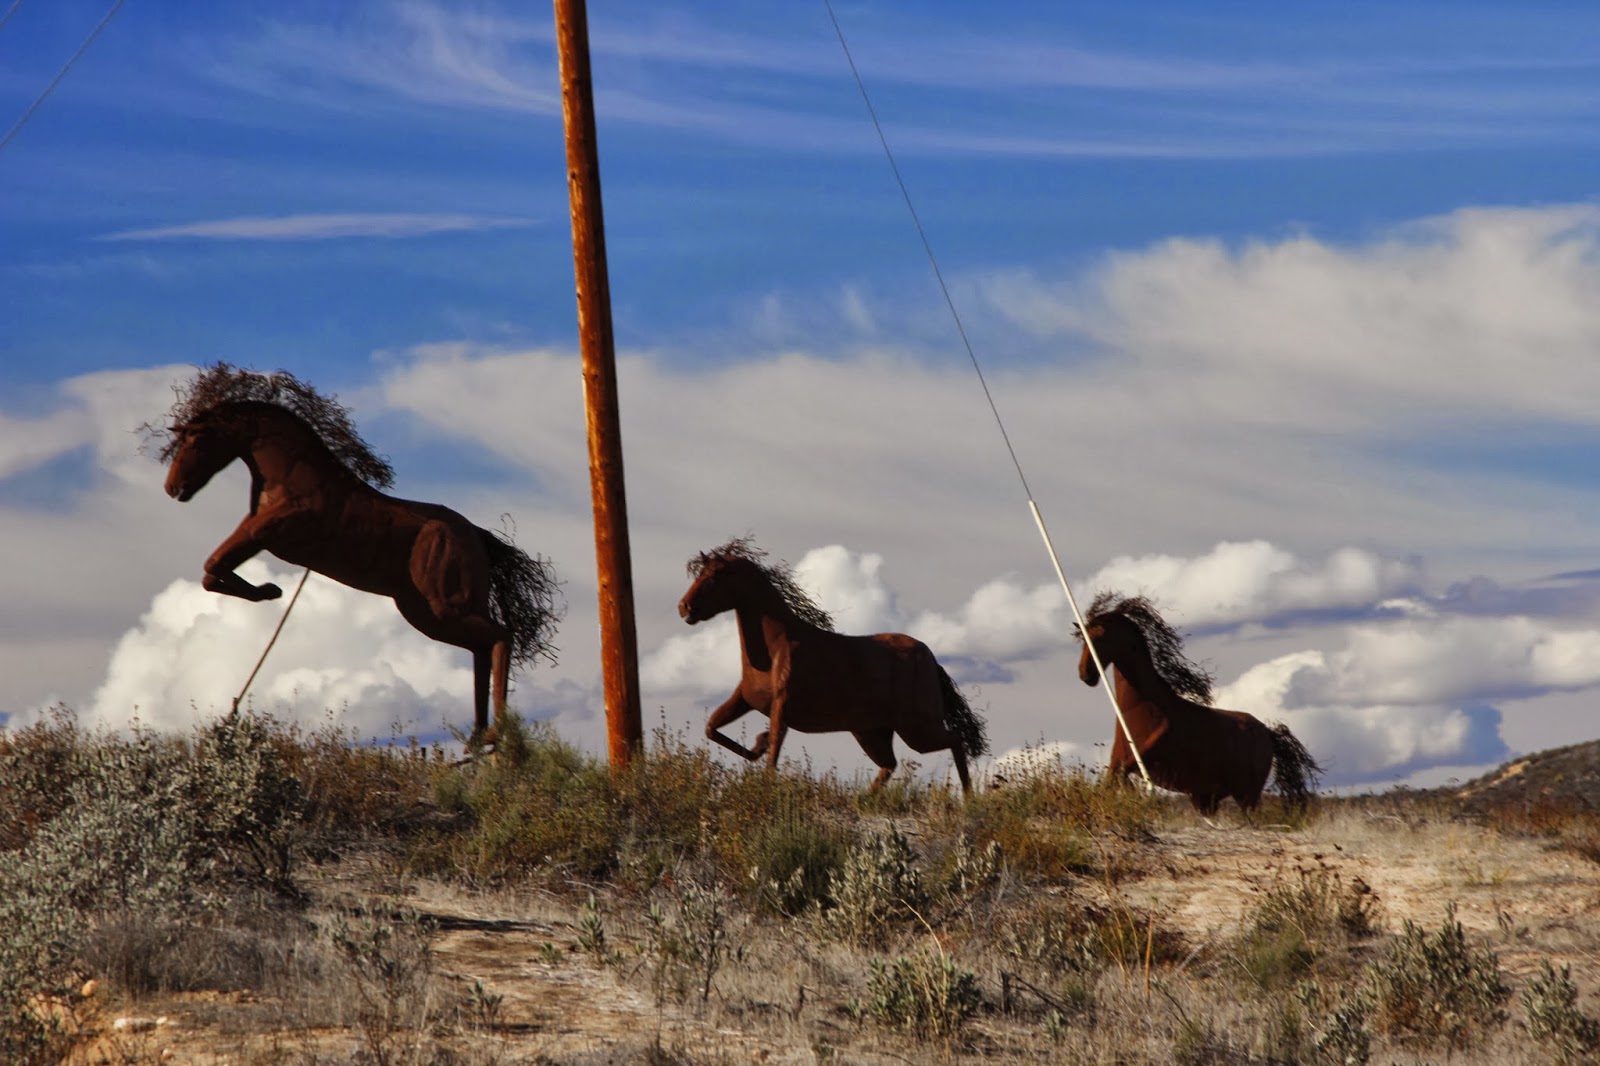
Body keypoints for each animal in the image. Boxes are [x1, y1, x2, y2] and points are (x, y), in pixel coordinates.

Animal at [150, 363, 561, 740]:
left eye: (195, 440)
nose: (173, 487)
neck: (293, 474)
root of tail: (477, 536)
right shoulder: (255, 533)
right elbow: (210, 573)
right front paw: (269, 591)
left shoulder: (269, 532)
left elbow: (214, 564)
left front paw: (270, 590)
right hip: (426, 613)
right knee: (481, 647)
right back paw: (478, 737)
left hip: (446, 605)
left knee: (500, 637)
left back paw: (497, 734)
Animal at [677, 537, 988, 794]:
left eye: (715, 575)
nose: (684, 608)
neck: (775, 649)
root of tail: (931, 661)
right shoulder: (744, 700)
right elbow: (712, 728)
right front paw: (759, 742)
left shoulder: (781, 709)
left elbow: (773, 752)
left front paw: (763, 752)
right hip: (871, 731)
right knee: (890, 764)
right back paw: (863, 801)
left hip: (917, 728)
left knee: (954, 741)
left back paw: (968, 799)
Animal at [1076, 591, 1321, 815]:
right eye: (1082, 638)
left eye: (1099, 637)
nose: (1085, 674)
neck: (1145, 706)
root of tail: (1269, 733)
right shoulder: (1118, 765)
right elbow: (1112, 786)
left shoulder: (1139, 761)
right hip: (1209, 797)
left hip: (1246, 795)